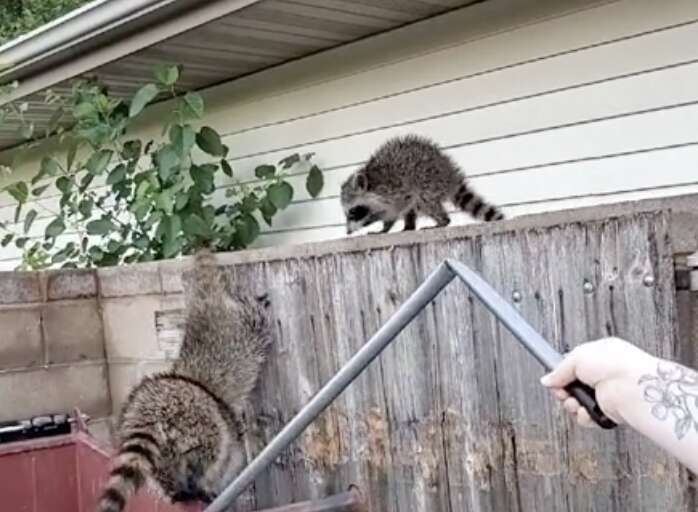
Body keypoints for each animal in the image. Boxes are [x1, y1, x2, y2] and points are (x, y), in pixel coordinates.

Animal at [340, 134, 502, 234]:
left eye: (352, 212)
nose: (347, 232)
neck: (372, 184)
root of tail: (450, 174)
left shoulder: (397, 192)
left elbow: (397, 210)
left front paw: (386, 226)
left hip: (429, 181)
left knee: (425, 201)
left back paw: (442, 221)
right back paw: (409, 225)